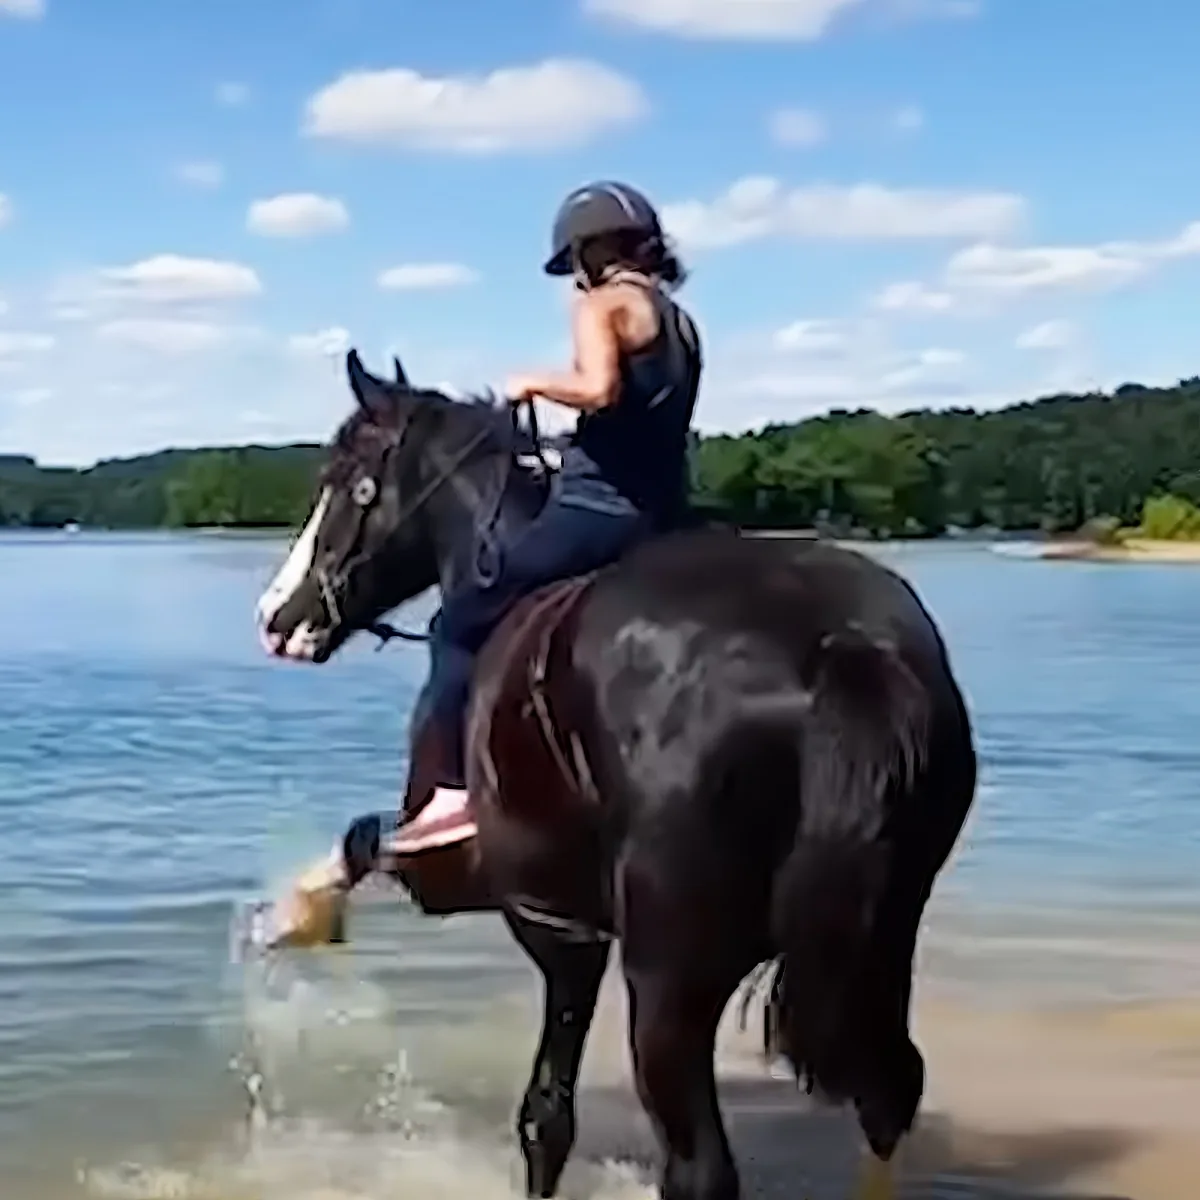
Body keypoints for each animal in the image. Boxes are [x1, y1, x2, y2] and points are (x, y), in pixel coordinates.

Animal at [251, 348, 978, 1200]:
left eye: (344, 477)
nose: (277, 618)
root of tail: (845, 649)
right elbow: (549, 1117)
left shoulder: (512, 900)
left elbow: (541, 1115)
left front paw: (293, 914)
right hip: (878, 942)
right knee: (888, 1095)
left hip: (669, 979)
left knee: (701, 1165)